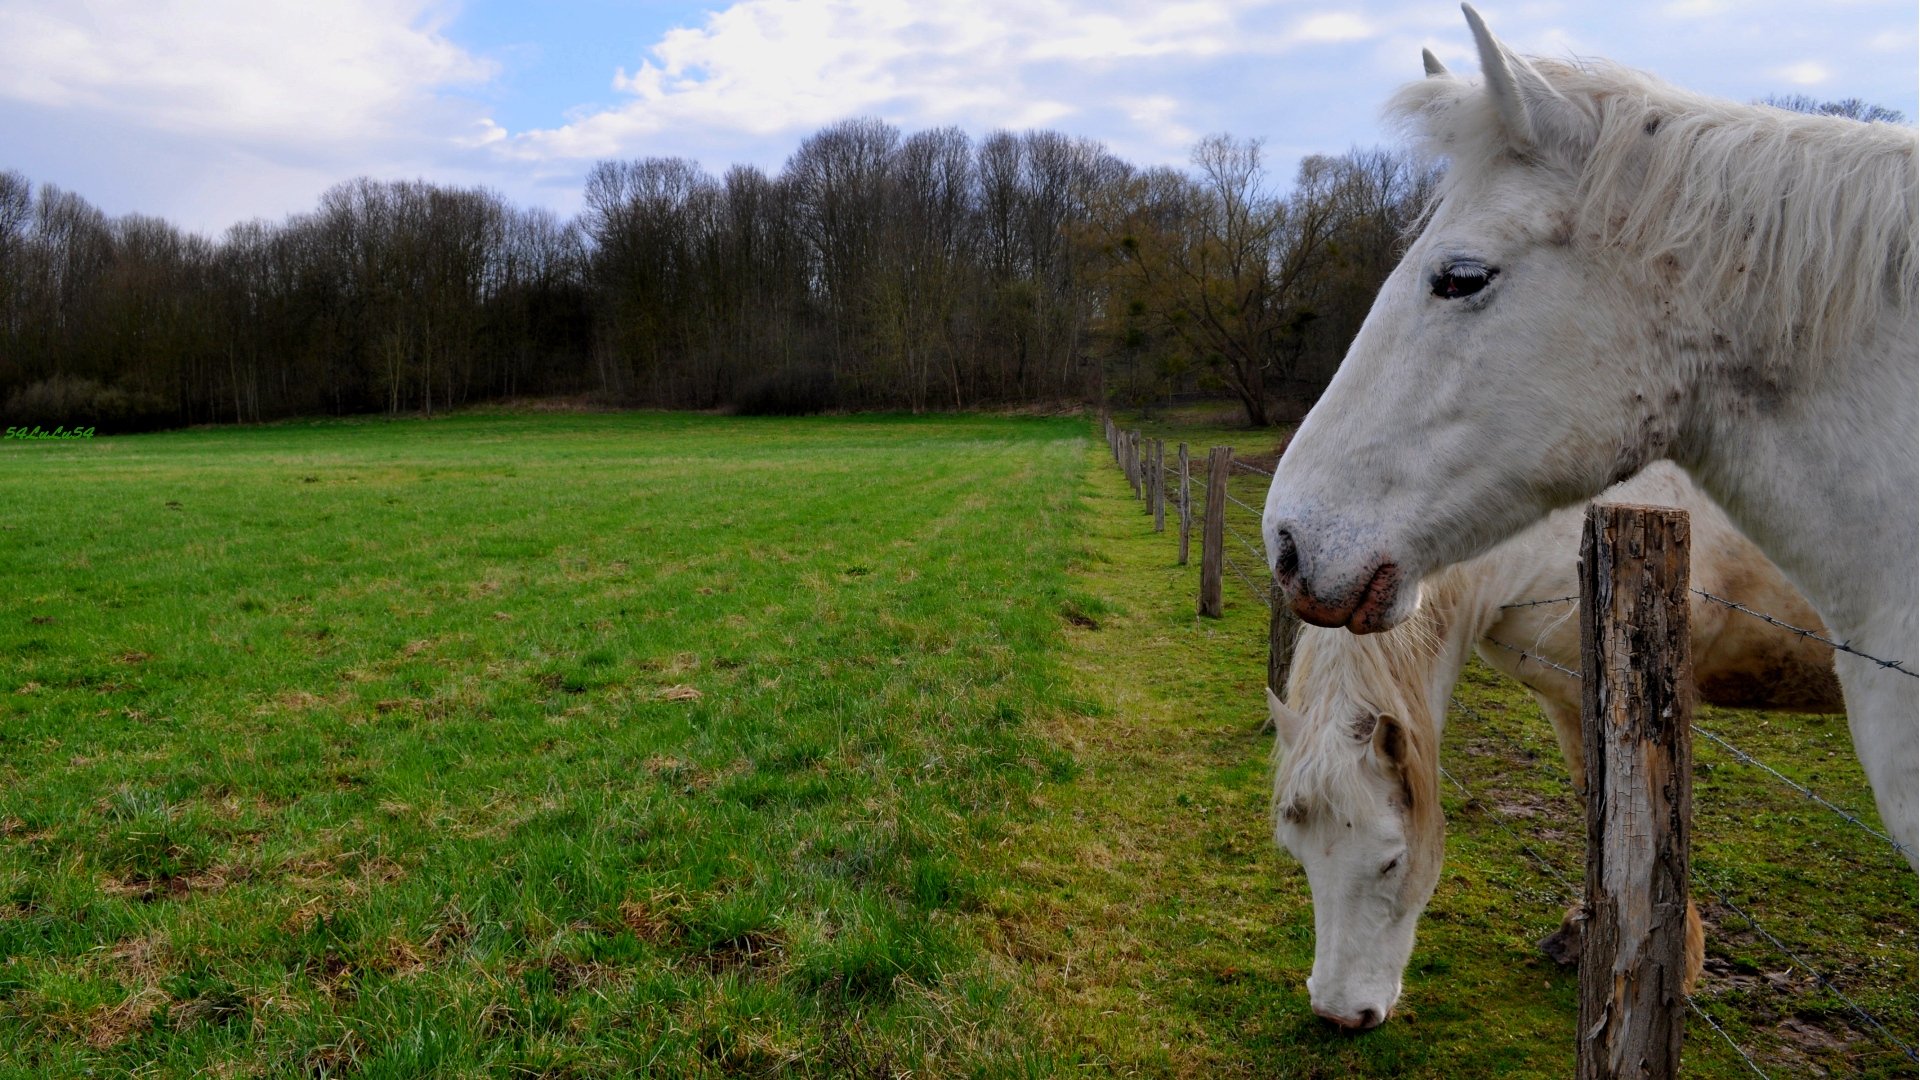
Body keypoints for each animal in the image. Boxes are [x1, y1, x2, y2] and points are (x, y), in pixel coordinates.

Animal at [1267, 461, 1835, 1022]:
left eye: (1392, 861)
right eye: (1297, 854)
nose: (1339, 1014)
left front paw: (1673, 960)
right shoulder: (1565, 692)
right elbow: (1594, 803)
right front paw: (1588, 932)